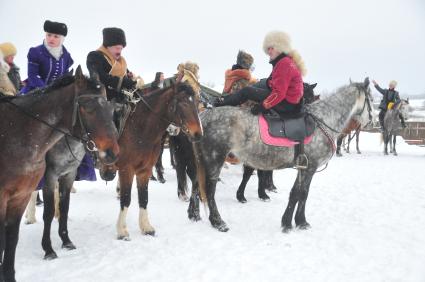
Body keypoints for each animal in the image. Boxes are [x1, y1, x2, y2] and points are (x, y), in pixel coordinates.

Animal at [0, 66, 119, 282]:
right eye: (87, 107)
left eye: (111, 109)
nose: (112, 154)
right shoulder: (49, 177)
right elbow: (47, 212)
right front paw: (48, 249)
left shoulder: (68, 175)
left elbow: (64, 208)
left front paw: (66, 239)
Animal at [98, 80, 203, 239]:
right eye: (184, 103)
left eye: (196, 102)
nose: (198, 134)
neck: (139, 130)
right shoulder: (127, 170)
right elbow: (126, 198)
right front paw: (122, 230)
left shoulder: (144, 170)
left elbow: (144, 198)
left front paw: (146, 227)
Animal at [190, 76, 372, 231]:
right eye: (370, 99)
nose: (371, 121)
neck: (323, 120)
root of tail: (204, 115)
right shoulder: (310, 168)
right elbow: (302, 193)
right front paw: (296, 222)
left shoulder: (303, 168)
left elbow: (297, 193)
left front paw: (294, 221)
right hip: (215, 159)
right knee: (209, 190)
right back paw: (218, 222)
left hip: (203, 159)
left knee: (197, 185)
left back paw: (194, 214)